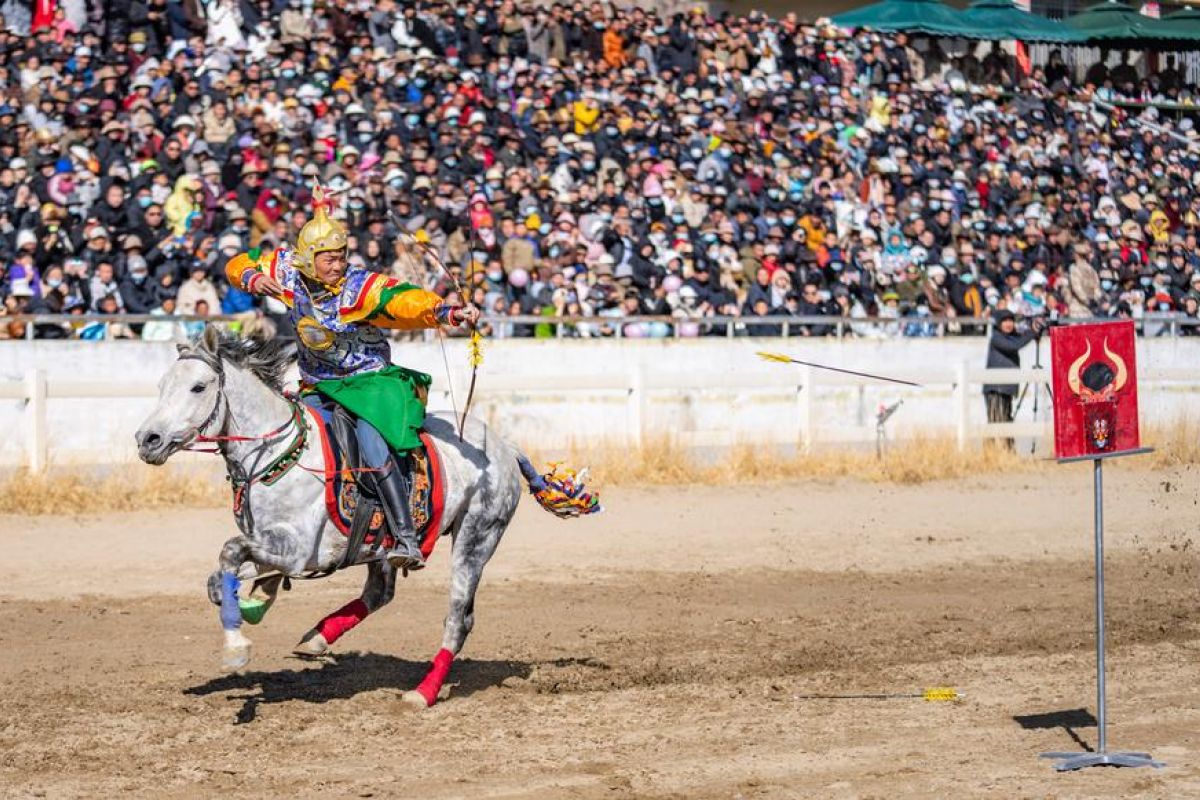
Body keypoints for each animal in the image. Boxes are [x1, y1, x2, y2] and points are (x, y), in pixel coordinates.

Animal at [133, 328, 597, 710]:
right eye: (161, 386)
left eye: (198, 386)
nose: (147, 439)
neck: (280, 455)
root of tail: (504, 445)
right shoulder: (268, 544)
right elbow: (222, 576)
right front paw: (253, 602)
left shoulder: (300, 551)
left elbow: (230, 553)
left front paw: (236, 645)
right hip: (381, 547)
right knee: (379, 593)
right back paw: (317, 638)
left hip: (476, 539)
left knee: (457, 619)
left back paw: (422, 693)